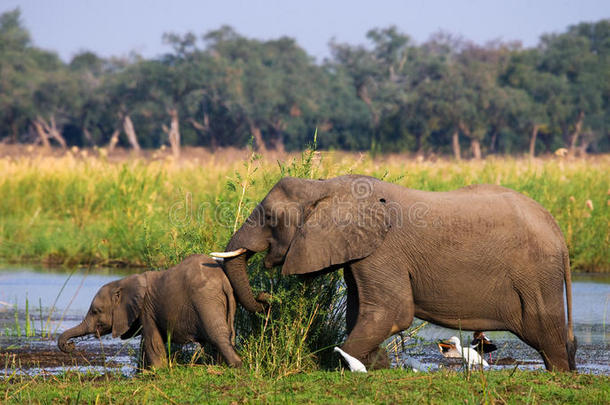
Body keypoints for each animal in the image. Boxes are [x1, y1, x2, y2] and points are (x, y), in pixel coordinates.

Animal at [57, 254, 241, 368]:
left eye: (96, 311)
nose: (71, 345)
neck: (123, 282)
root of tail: (224, 281)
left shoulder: (146, 309)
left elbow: (152, 342)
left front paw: (157, 371)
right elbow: (145, 344)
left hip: (206, 301)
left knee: (217, 335)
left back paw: (236, 365)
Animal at [214, 175, 576, 370]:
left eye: (270, 218)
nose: (266, 299)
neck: (326, 185)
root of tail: (559, 232)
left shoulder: (383, 250)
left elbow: (391, 313)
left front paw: (349, 362)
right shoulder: (361, 251)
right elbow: (361, 310)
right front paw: (376, 365)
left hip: (536, 275)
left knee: (546, 333)